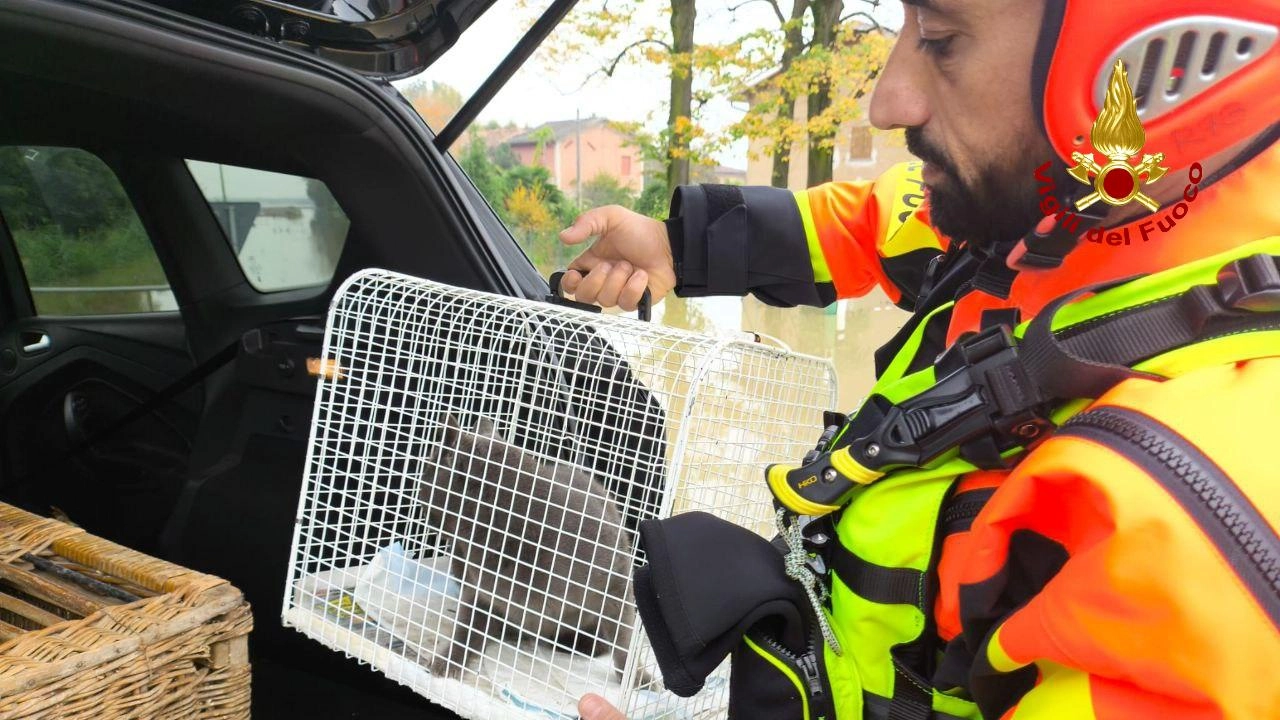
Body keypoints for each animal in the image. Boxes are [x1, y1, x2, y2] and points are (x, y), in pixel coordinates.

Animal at [422, 415, 640, 676]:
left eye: (429, 470)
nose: (419, 489)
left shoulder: (616, 579)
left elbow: (623, 639)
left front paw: (638, 677)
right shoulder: (481, 589)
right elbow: (467, 628)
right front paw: (447, 663)